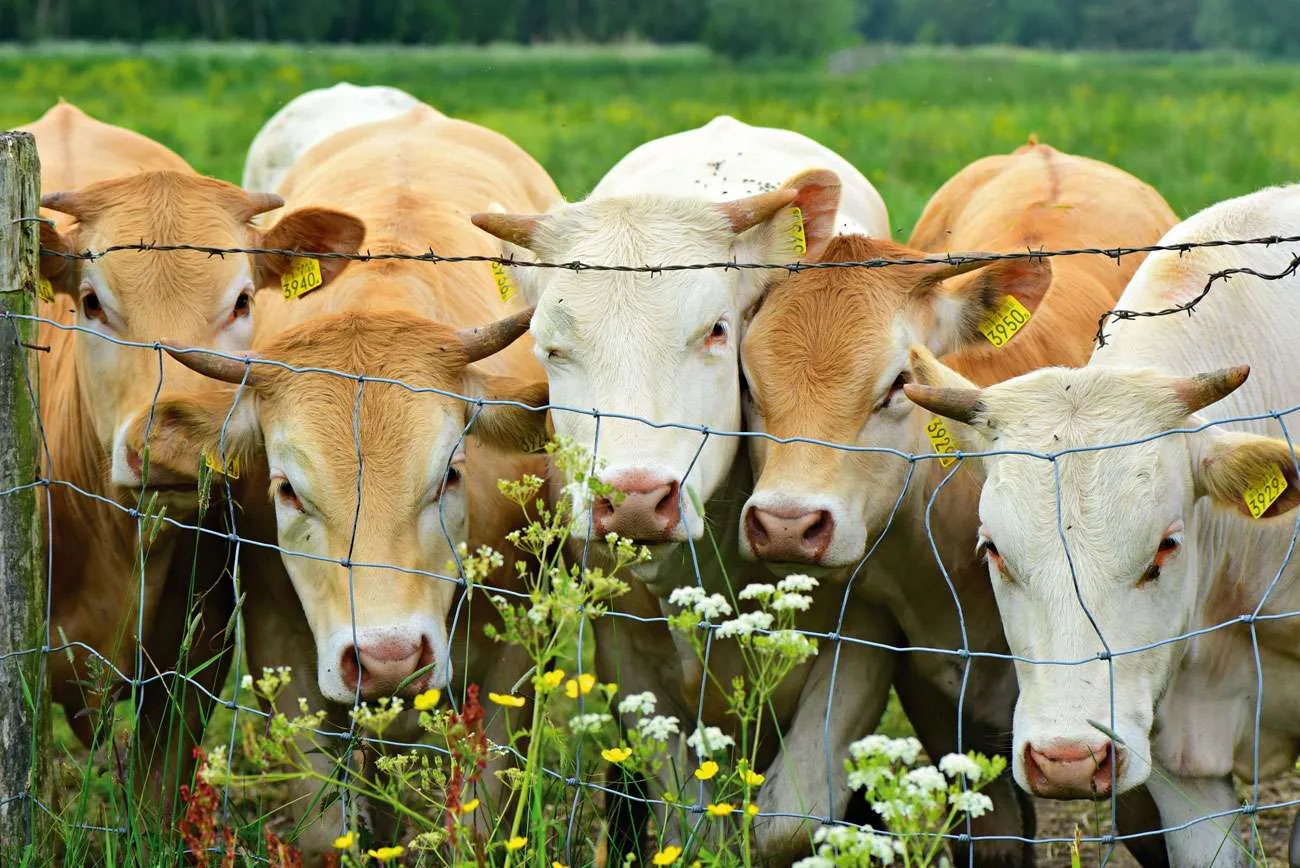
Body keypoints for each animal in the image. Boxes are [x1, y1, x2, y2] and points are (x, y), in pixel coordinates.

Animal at [126, 103, 559, 860]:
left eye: (450, 474)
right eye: (287, 489)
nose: (388, 659)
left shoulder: (510, 659)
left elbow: (478, 821)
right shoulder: (284, 645)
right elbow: (325, 826)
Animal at [472, 114, 894, 862]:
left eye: (717, 330)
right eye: (550, 348)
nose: (636, 498)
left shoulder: (864, 639)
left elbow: (791, 820)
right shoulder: (627, 651)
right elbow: (685, 820)